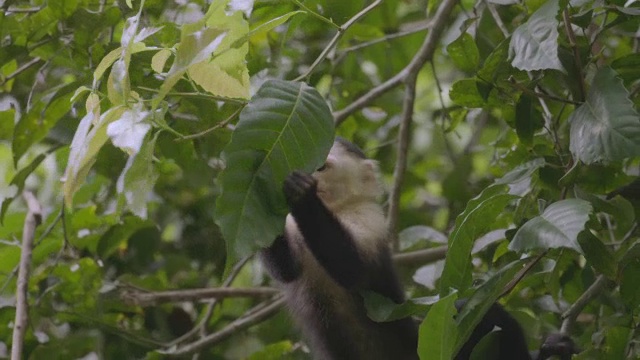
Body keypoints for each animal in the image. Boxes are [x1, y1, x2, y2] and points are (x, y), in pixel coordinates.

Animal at [262, 137, 580, 360]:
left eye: (323, 166)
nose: (309, 174)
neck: (338, 208)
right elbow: (287, 270)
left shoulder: (369, 219)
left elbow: (354, 269)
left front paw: (302, 193)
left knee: (479, 314)